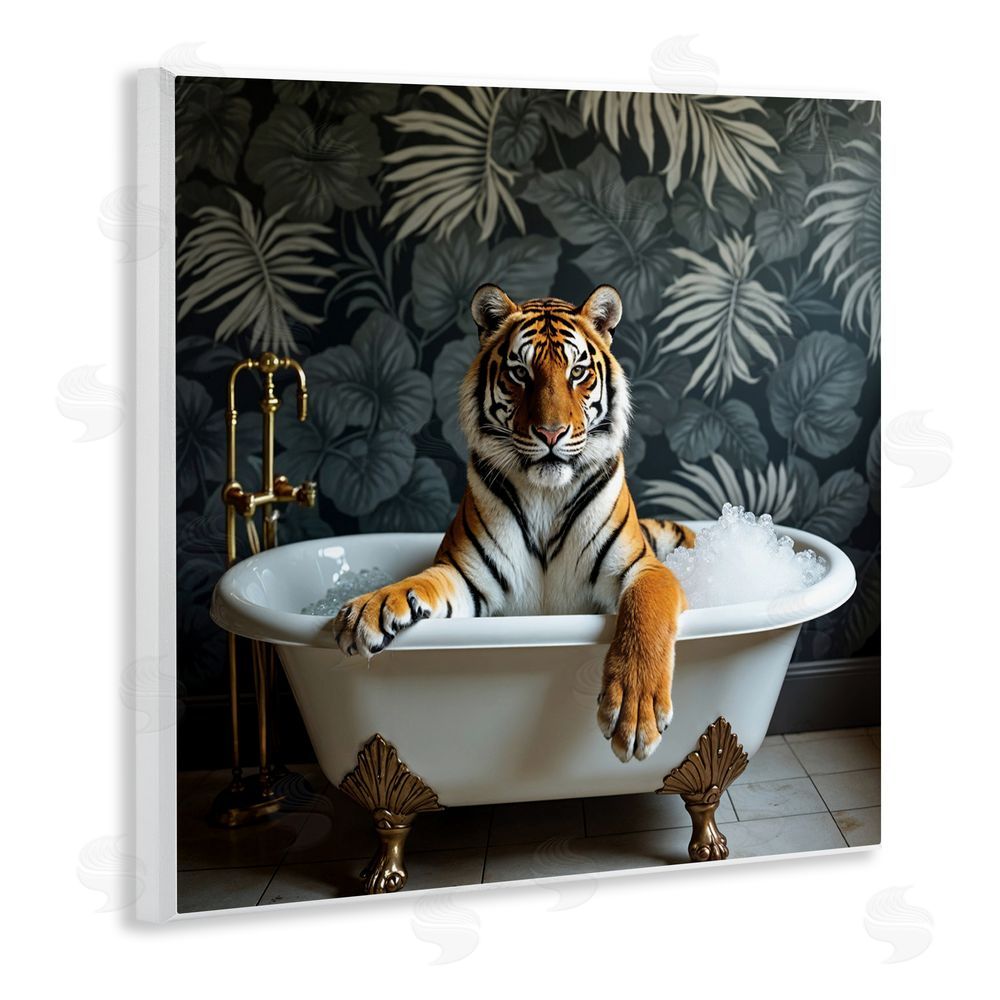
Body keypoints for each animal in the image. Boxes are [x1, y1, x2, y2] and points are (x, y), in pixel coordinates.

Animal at [332, 283, 695, 763]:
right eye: (520, 373)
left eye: (578, 372)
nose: (551, 433)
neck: (545, 494)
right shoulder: (466, 576)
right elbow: (418, 583)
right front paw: (369, 608)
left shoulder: (642, 569)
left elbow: (644, 615)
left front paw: (636, 712)